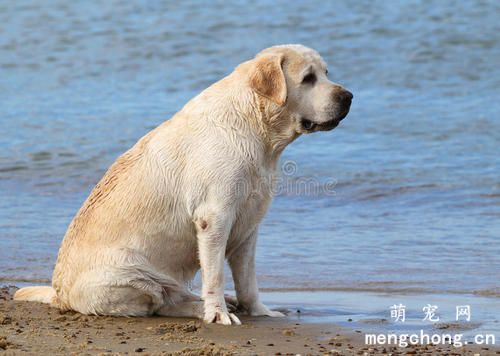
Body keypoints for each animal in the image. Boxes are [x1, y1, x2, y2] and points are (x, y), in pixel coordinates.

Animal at [14, 44, 352, 326]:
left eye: (326, 73)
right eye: (308, 78)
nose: (348, 96)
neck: (256, 128)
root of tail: (60, 294)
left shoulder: (248, 227)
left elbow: (248, 281)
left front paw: (259, 311)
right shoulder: (214, 218)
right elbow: (214, 275)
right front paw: (218, 314)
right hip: (133, 276)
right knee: (160, 304)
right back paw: (201, 308)